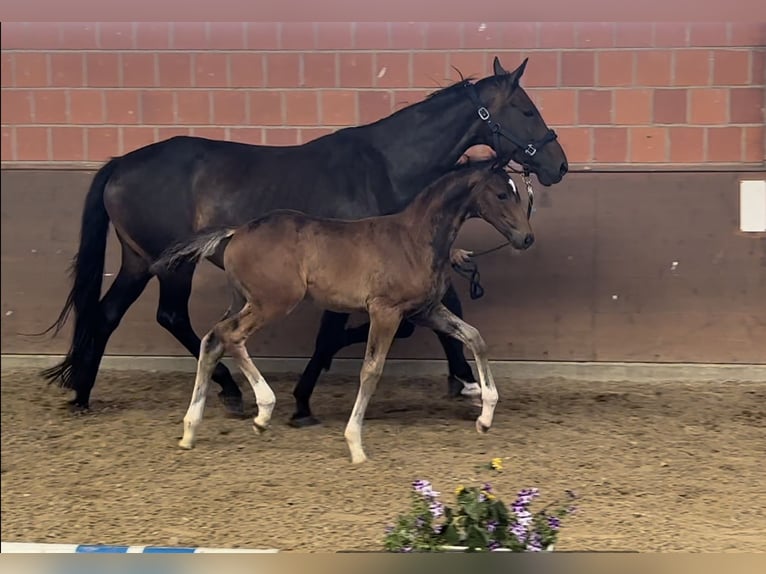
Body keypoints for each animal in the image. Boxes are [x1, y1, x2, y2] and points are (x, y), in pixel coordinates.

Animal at [155, 161, 536, 464]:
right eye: (502, 195)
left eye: (518, 193)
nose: (526, 238)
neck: (415, 239)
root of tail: (236, 231)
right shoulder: (385, 311)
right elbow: (371, 370)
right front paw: (355, 444)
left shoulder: (424, 311)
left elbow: (475, 337)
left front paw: (485, 416)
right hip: (273, 302)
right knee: (231, 336)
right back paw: (263, 411)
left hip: (243, 300)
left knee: (212, 340)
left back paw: (190, 431)